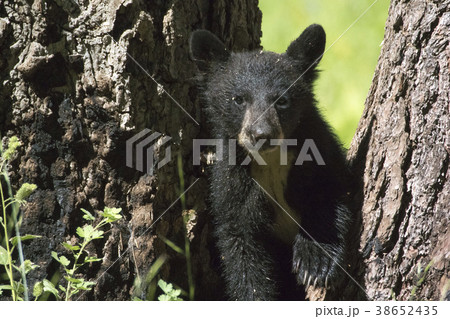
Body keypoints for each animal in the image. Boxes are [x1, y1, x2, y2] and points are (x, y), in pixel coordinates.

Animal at [189, 23, 352, 302]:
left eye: (282, 100)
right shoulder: (233, 182)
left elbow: (332, 192)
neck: (271, 160)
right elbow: (240, 243)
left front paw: (315, 262)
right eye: (238, 99)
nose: (261, 133)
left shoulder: (319, 151)